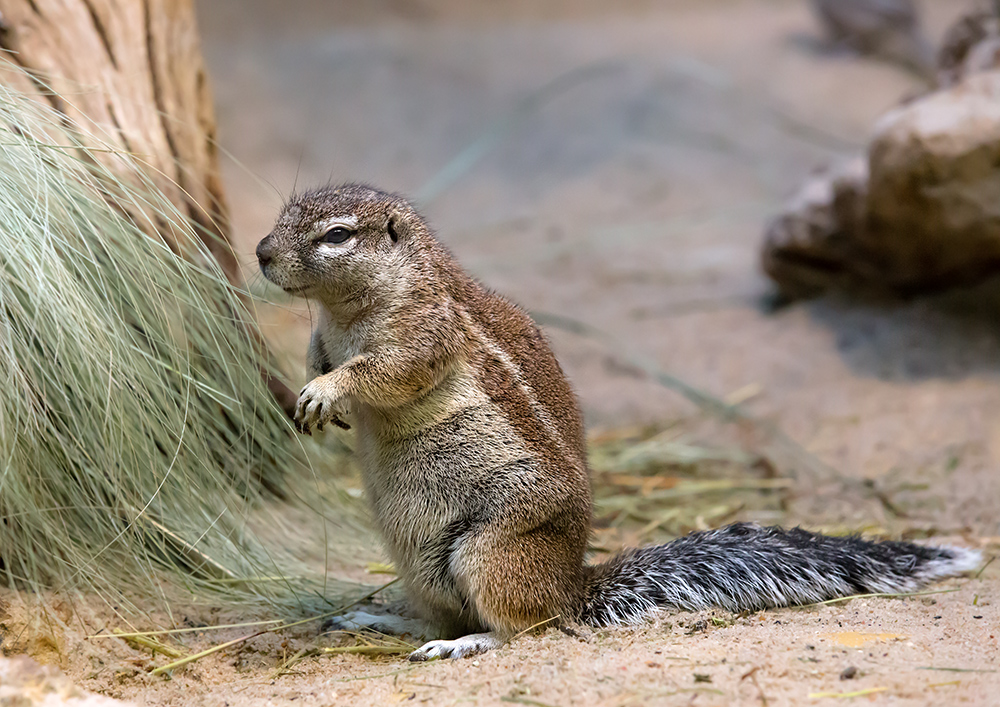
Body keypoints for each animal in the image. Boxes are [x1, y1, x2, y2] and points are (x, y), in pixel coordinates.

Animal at [254, 185, 980, 660]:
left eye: (337, 235)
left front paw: (327, 391)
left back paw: (465, 643)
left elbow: (388, 371)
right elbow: (319, 353)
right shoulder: (328, 331)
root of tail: (571, 582)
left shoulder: (425, 335)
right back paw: (381, 620)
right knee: (447, 612)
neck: (350, 310)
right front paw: (312, 388)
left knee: (528, 626)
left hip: (492, 550)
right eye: (282, 213)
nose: (260, 252)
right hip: (414, 559)